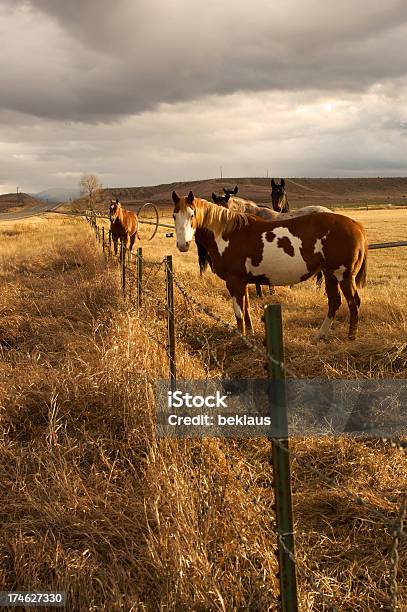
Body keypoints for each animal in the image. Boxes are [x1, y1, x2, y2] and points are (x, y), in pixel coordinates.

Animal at [172, 191, 370, 340]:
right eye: (174, 215)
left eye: (192, 214)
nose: (183, 245)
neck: (227, 233)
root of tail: (356, 225)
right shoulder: (243, 281)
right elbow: (246, 308)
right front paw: (250, 333)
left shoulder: (233, 281)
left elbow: (238, 312)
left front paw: (240, 337)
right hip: (330, 275)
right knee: (335, 302)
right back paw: (320, 335)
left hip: (344, 276)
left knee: (353, 302)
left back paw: (351, 338)